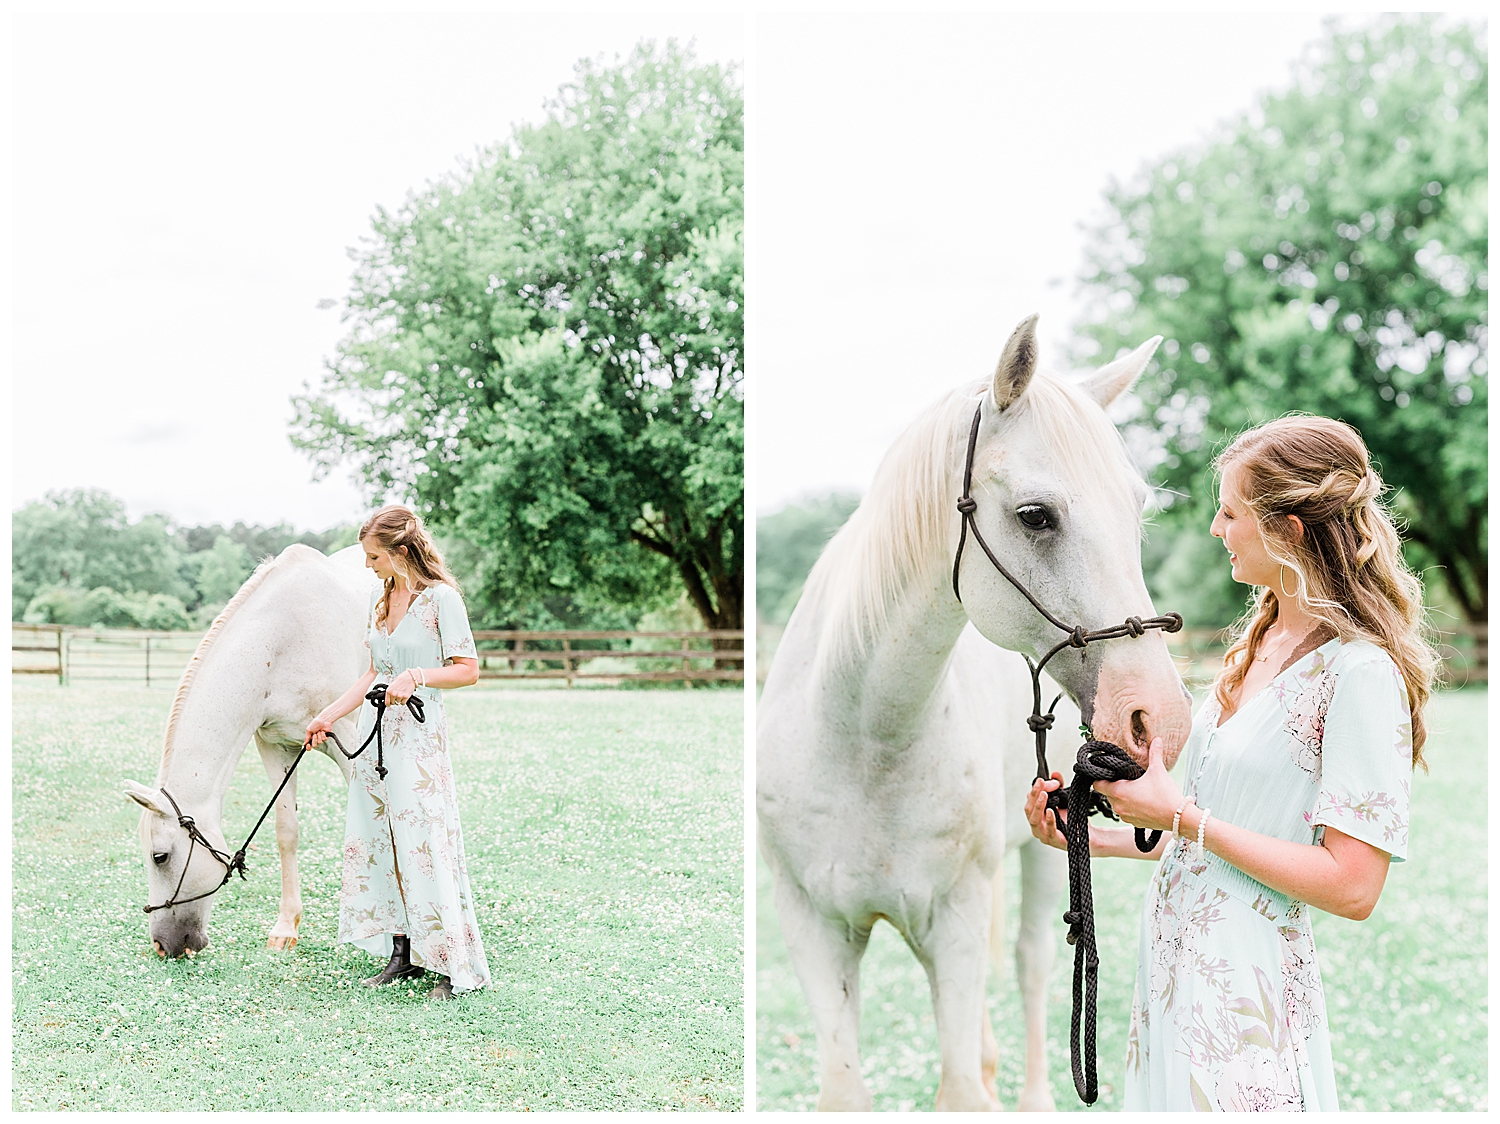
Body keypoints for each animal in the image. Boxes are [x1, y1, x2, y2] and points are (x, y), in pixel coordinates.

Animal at [122, 543, 377, 958]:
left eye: (159, 856)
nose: (161, 946)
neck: (282, 641)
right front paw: (286, 926)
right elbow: (286, 831)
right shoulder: (276, 746)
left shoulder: (348, 739)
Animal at [756, 315, 1194, 1111]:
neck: (862, 737)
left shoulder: (954, 925)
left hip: (1049, 852)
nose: (1160, 718)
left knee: (1031, 965)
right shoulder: (812, 928)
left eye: (1136, 510)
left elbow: (961, 1085)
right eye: (1035, 516)